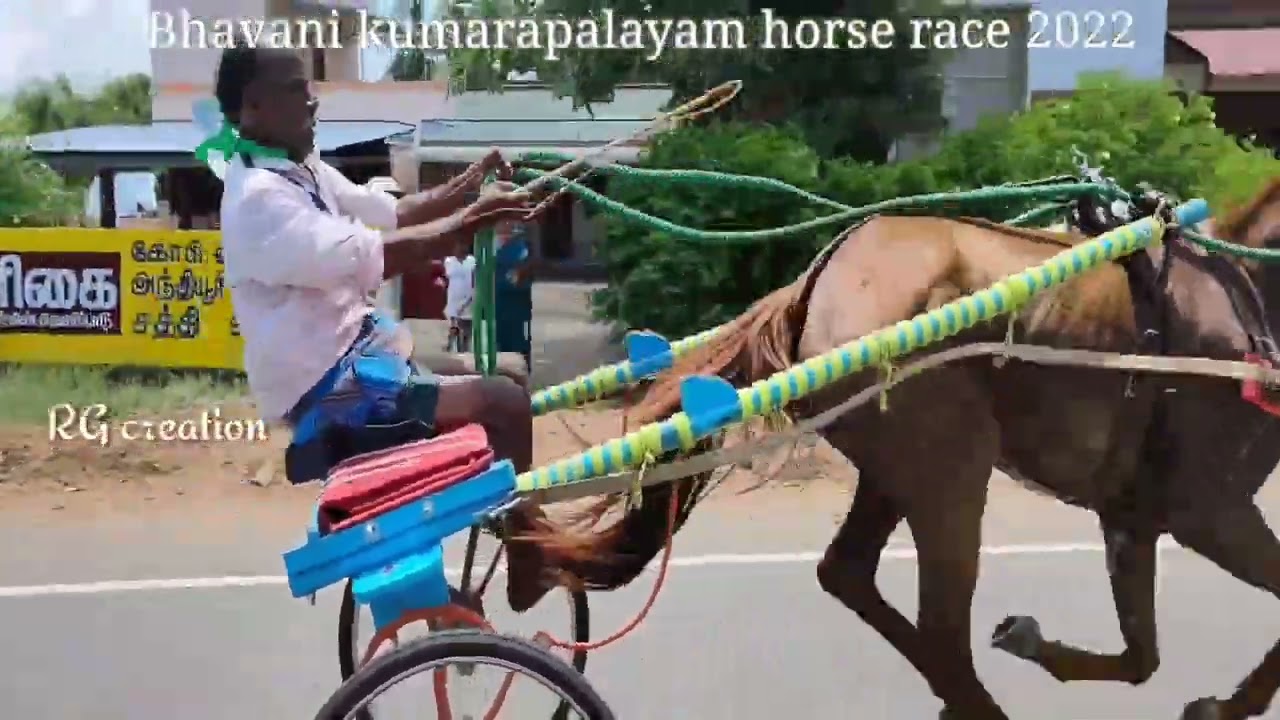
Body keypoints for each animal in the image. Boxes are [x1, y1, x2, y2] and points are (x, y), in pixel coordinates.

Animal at [500, 179, 1280, 719]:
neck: (1247, 298)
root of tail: (820, 281)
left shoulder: (1133, 516)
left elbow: (1142, 655)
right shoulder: (1209, 510)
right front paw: (1223, 706)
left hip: (896, 467)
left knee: (850, 575)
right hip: (950, 470)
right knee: (940, 630)